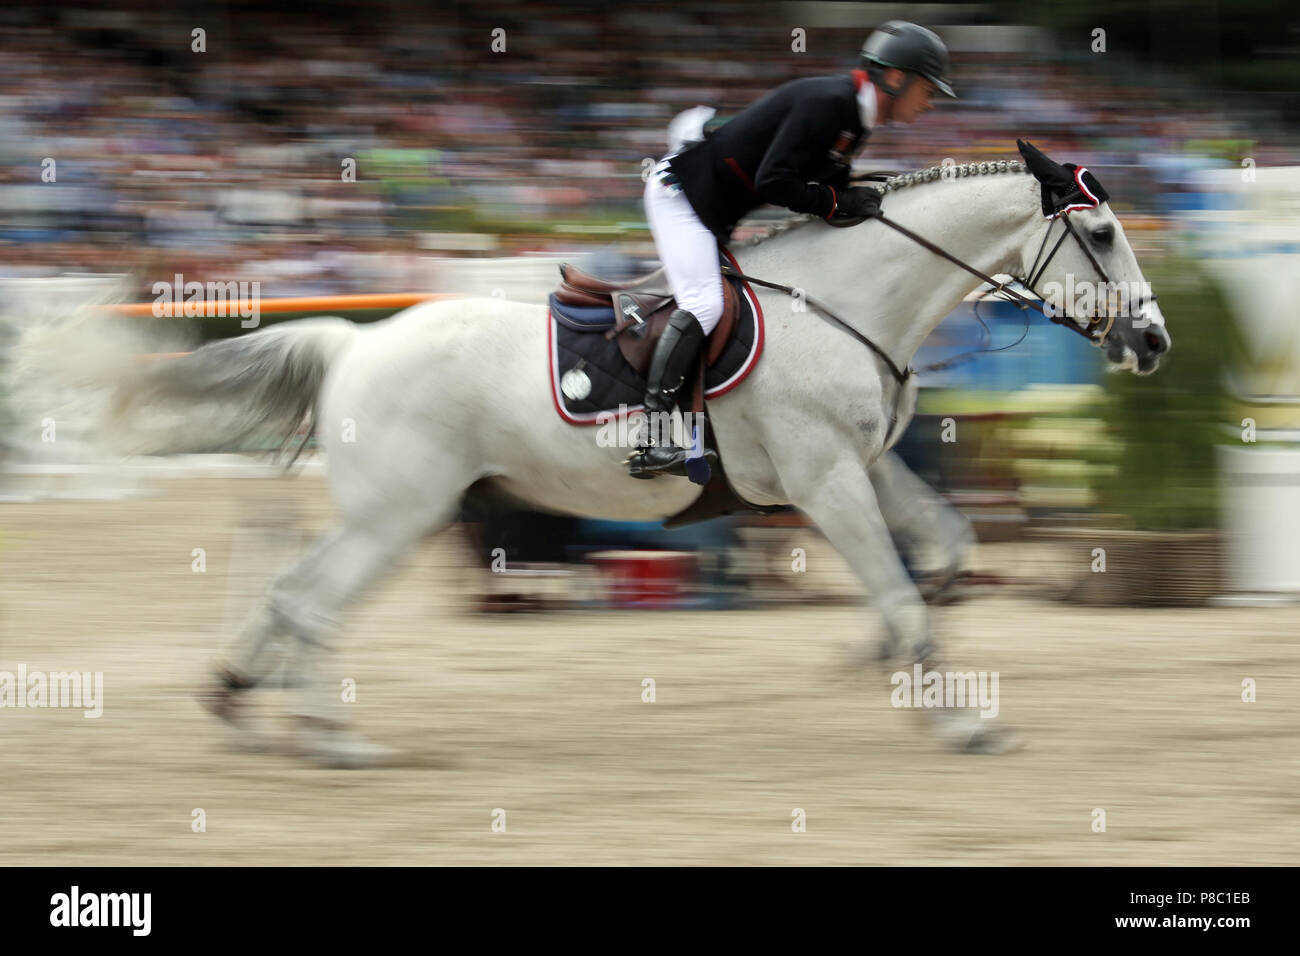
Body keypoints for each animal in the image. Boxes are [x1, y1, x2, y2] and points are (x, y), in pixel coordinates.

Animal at [39, 142, 1170, 765]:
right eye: (1101, 234)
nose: (1154, 342)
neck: (848, 303)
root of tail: (355, 341)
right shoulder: (824, 481)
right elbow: (899, 587)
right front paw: (958, 722)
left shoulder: (866, 468)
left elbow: (942, 551)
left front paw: (881, 660)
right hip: (401, 513)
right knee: (310, 599)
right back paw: (331, 737)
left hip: (392, 511)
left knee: (287, 588)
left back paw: (243, 700)